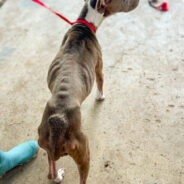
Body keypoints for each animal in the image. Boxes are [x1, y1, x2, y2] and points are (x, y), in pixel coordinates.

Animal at [38, 0, 139, 184]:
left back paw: (57, 175)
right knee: (82, 178)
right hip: (84, 151)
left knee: (51, 169)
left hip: (45, 142)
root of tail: (59, 121)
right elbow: (100, 82)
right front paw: (101, 97)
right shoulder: (99, 66)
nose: (138, 3)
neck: (84, 24)